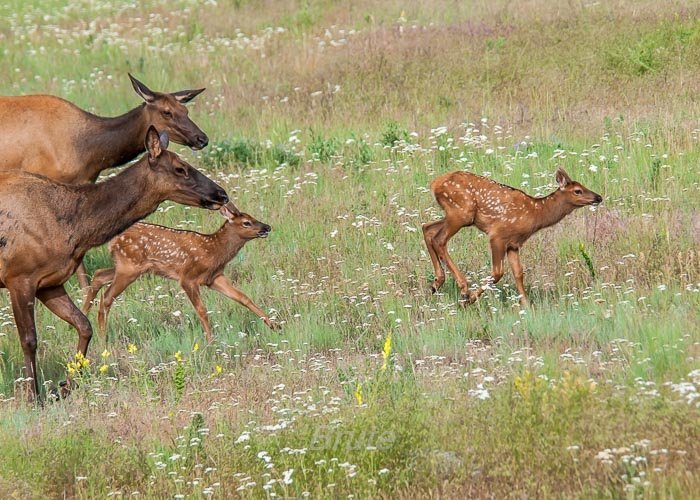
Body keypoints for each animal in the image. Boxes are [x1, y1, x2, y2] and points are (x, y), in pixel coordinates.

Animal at [0, 127, 227, 400]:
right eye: (179, 168)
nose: (221, 194)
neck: (76, 229)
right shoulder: (19, 276)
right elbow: (29, 339)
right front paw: (34, 396)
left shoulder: (49, 282)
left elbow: (84, 325)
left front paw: (65, 385)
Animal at [82, 203, 278, 340]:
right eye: (246, 222)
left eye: (253, 217)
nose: (267, 227)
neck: (213, 251)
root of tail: (113, 240)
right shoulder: (188, 277)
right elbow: (201, 309)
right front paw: (210, 341)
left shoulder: (214, 277)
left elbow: (243, 298)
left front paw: (274, 325)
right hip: (129, 267)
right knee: (106, 297)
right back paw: (102, 339)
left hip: (125, 267)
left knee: (98, 275)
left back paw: (84, 317)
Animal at [422, 168, 600, 304]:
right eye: (578, 191)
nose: (598, 197)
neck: (536, 213)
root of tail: (434, 183)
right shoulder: (498, 235)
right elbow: (497, 273)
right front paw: (470, 299)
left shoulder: (514, 244)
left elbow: (519, 273)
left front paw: (527, 306)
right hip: (461, 212)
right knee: (439, 239)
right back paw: (464, 289)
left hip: (457, 215)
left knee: (427, 228)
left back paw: (436, 283)